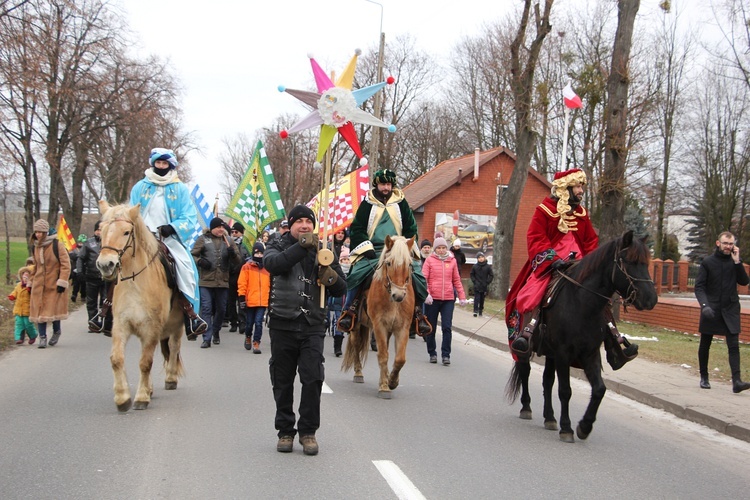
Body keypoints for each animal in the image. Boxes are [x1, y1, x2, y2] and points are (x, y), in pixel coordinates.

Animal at [96, 201, 186, 412]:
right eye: (102, 231)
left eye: (126, 232)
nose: (105, 264)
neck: (135, 283)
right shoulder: (121, 325)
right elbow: (117, 359)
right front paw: (122, 398)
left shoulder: (151, 327)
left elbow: (146, 362)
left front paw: (141, 398)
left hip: (177, 325)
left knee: (174, 346)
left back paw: (170, 379)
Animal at [342, 235, 418, 398]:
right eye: (389, 263)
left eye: (409, 264)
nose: (399, 295)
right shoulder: (379, 326)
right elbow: (383, 355)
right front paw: (384, 387)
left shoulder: (402, 327)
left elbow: (400, 359)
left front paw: (392, 381)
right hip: (356, 325)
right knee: (356, 345)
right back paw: (358, 373)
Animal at [508, 230, 660, 442]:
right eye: (628, 261)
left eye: (646, 263)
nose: (650, 299)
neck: (582, 304)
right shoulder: (563, 353)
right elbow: (565, 391)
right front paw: (567, 428)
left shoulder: (590, 353)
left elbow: (599, 389)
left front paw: (584, 426)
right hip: (526, 348)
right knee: (525, 371)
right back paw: (527, 407)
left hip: (551, 353)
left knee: (547, 381)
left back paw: (550, 418)